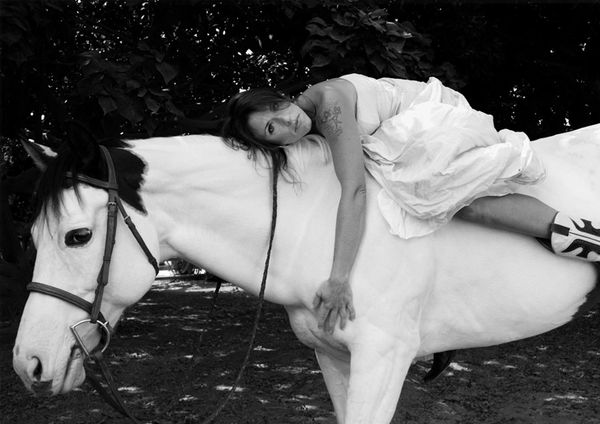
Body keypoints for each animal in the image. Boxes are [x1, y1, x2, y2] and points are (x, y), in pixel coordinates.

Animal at [9, 124, 600, 422]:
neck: (324, 225)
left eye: (77, 236)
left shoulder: (384, 359)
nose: (28, 364)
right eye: (32, 238)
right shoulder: (334, 357)